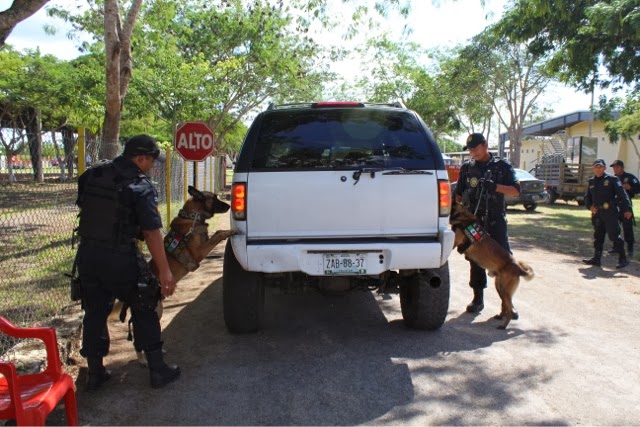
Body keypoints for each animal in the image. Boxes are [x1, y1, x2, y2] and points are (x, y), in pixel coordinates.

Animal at [112, 186, 238, 362]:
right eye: (214, 198)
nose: (228, 205)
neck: (193, 217)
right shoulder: (199, 252)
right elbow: (218, 233)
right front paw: (231, 231)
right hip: (154, 311)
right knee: (138, 338)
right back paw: (142, 359)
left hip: (157, 310)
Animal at [450, 202, 536, 330]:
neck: (463, 217)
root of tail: (518, 268)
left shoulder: (453, 243)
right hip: (499, 287)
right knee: (505, 306)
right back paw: (500, 316)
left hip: (505, 289)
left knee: (509, 309)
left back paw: (504, 325)